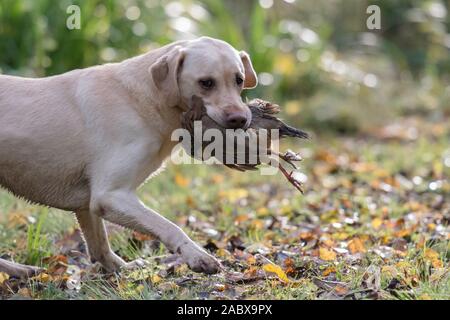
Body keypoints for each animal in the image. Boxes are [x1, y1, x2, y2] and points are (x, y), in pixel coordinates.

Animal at [0, 37, 256, 278]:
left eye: (239, 80)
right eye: (206, 82)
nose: (240, 119)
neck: (141, 99)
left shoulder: (88, 204)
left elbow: (100, 246)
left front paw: (122, 269)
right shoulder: (110, 196)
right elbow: (168, 225)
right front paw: (197, 255)